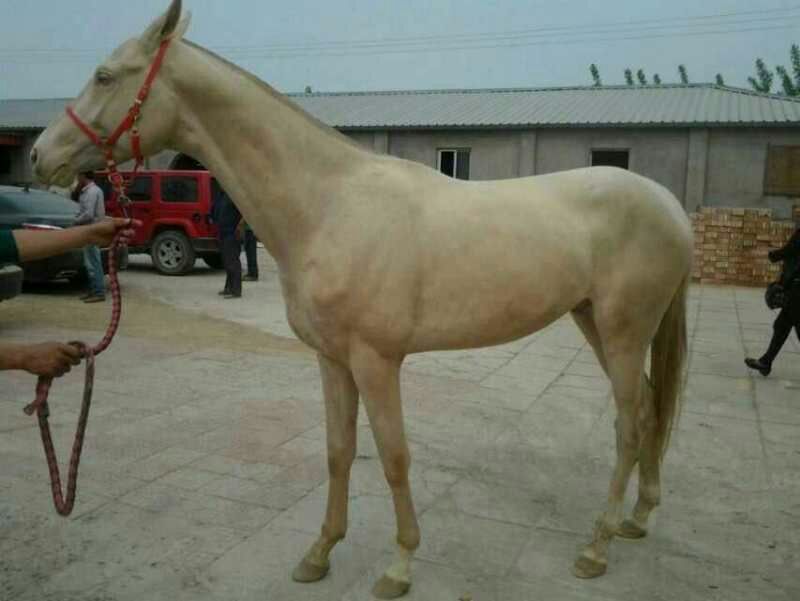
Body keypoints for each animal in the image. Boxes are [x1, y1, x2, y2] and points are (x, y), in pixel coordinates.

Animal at [30, 1, 692, 597]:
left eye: (105, 76)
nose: (40, 155)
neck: (329, 204)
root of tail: (672, 208)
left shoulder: (377, 361)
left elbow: (394, 455)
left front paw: (399, 566)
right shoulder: (333, 359)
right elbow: (338, 451)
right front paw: (320, 552)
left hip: (623, 331)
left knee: (630, 423)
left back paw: (596, 547)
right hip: (595, 324)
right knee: (649, 410)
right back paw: (637, 519)